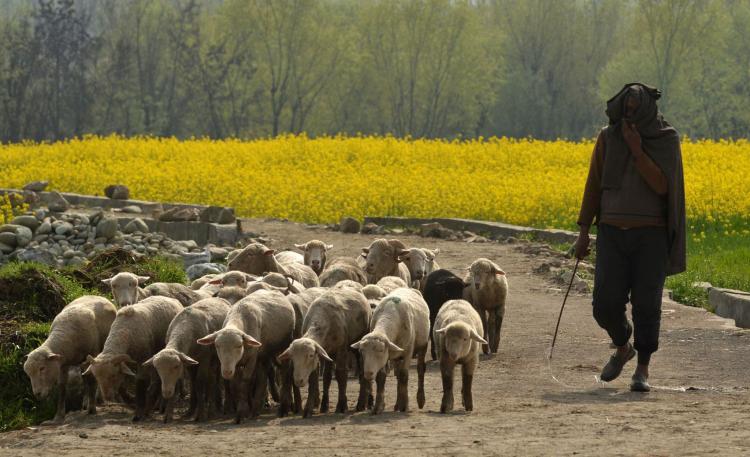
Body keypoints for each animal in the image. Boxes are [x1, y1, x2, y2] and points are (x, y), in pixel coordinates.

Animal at [198, 290, 298, 422]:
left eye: (239, 345)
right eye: (217, 345)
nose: (226, 372)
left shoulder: (252, 359)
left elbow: (245, 382)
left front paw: (241, 412)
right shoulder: (237, 364)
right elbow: (235, 384)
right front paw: (243, 411)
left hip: (284, 345)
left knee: (285, 373)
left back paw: (284, 407)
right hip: (264, 354)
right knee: (264, 376)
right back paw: (256, 409)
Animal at [280, 288, 374, 416]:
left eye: (310, 355)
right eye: (293, 358)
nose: (298, 381)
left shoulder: (341, 350)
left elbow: (341, 375)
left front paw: (341, 406)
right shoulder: (322, 353)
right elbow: (317, 378)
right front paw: (311, 408)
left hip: (359, 344)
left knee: (363, 371)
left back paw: (364, 403)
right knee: (329, 375)